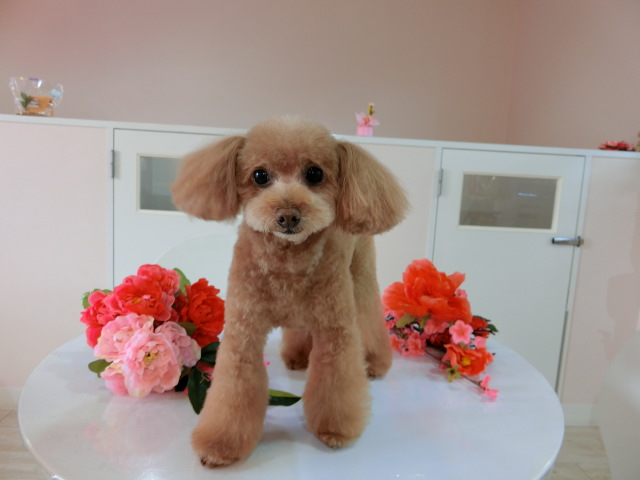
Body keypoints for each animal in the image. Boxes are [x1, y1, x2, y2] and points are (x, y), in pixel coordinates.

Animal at [172, 116, 408, 467]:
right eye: (260, 175)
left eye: (315, 174)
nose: (288, 215)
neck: (288, 263)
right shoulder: (243, 331)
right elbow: (235, 389)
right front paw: (220, 444)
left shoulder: (335, 328)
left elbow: (335, 383)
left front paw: (335, 429)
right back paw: (297, 356)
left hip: (361, 275)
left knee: (368, 316)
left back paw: (375, 363)